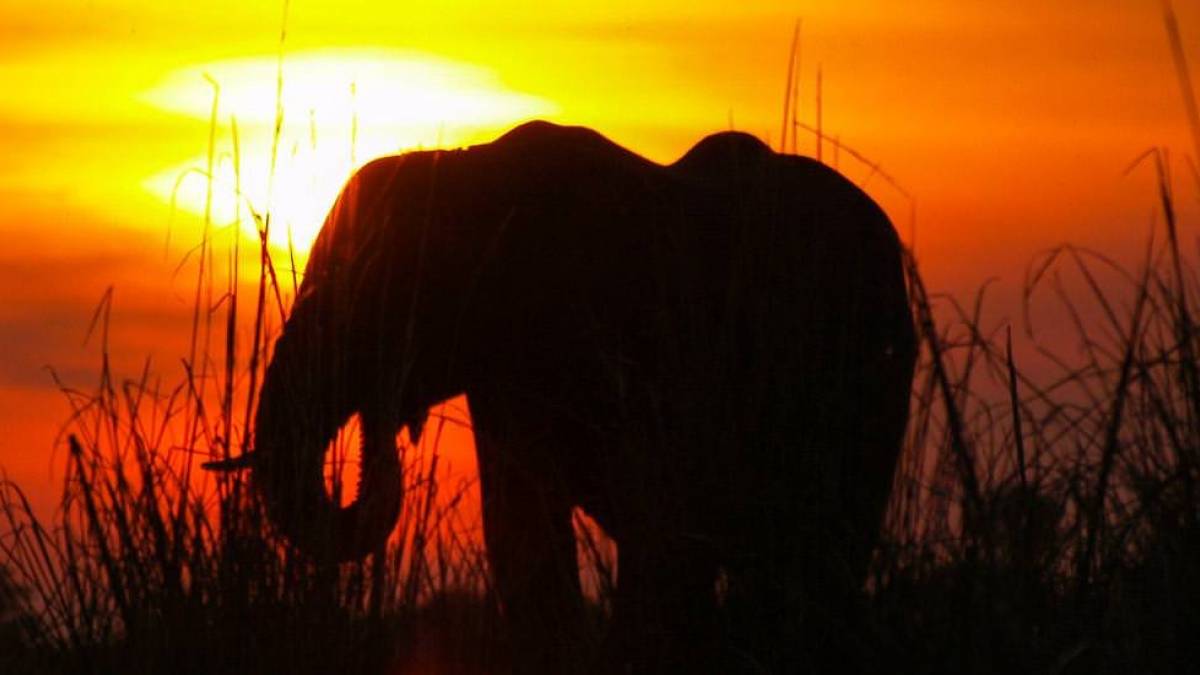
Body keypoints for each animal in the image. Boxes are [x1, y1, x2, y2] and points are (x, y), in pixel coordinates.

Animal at [233, 120, 916, 672]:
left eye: (371, 295)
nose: (380, 427)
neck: (470, 172)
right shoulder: (504, 375)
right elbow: (523, 525)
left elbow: (658, 525)